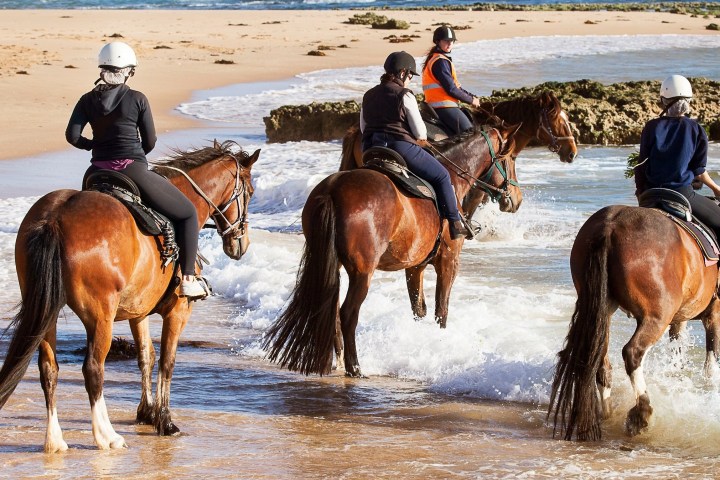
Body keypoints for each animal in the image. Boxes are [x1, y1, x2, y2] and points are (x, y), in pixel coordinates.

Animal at [0, 141, 260, 452]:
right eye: (250, 192)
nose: (241, 244)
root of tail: (56, 217)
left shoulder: (139, 311)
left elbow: (146, 356)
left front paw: (146, 412)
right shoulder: (178, 311)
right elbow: (167, 362)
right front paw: (165, 421)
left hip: (44, 311)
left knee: (49, 369)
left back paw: (55, 440)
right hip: (100, 316)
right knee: (93, 369)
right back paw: (106, 435)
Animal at [264, 124, 521, 378]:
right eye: (511, 159)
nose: (517, 200)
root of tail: (332, 190)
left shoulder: (415, 266)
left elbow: (418, 309)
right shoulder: (448, 261)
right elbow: (441, 310)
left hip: (331, 263)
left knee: (331, 308)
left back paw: (336, 361)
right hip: (363, 272)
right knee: (348, 313)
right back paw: (354, 367)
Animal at [548, 204, 720, 441]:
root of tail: (610, 224)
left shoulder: (681, 320)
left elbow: (678, 357)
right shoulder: (714, 313)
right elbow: (711, 363)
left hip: (602, 310)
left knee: (600, 360)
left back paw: (607, 413)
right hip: (656, 317)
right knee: (632, 352)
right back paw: (642, 413)